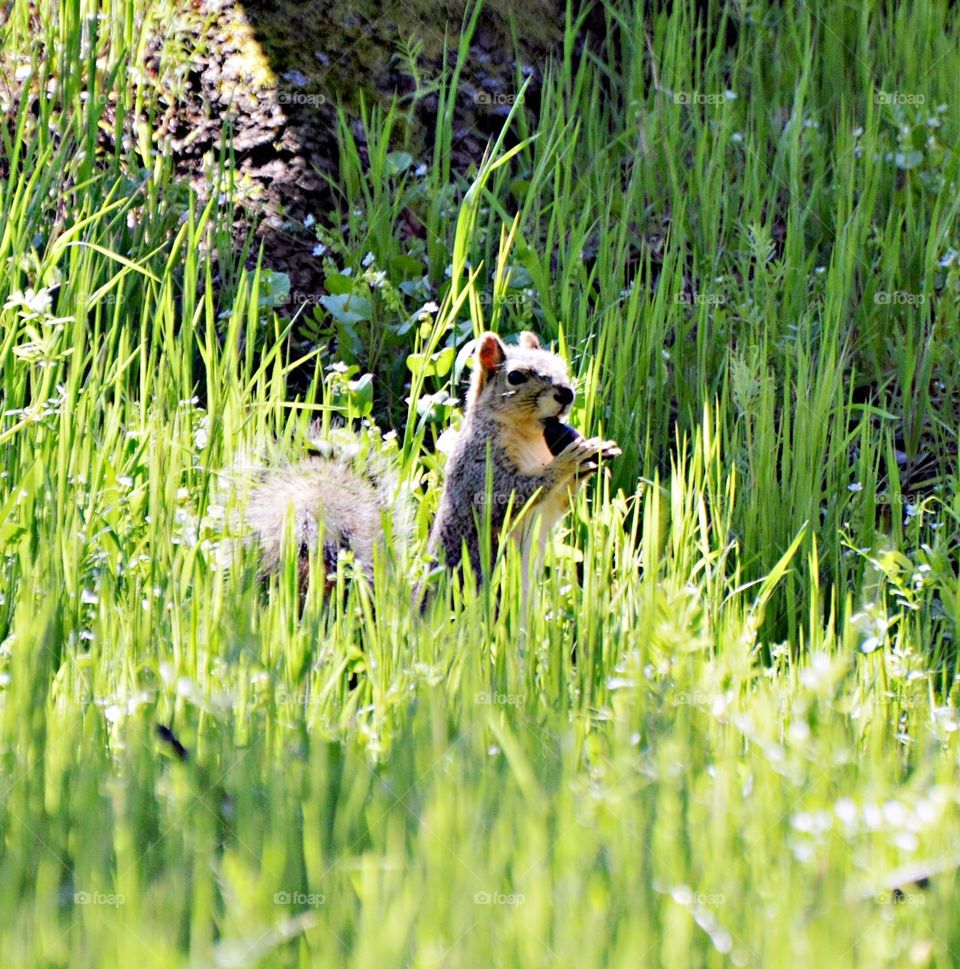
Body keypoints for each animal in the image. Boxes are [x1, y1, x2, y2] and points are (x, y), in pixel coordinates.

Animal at [244, 331, 619, 599]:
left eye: (559, 363)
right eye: (515, 377)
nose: (566, 393)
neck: (530, 438)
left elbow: (559, 504)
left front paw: (596, 451)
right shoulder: (478, 468)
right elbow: (511, 495)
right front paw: (569, 460)